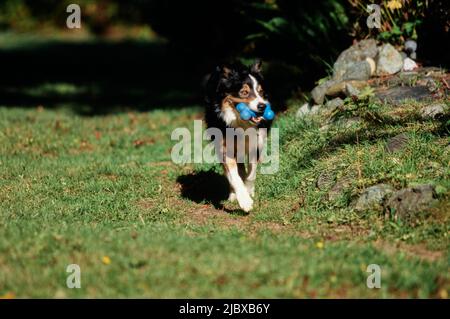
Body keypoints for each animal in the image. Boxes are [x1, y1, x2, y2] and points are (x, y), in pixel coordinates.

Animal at [205, 61, 274, 214]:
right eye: (244, 92)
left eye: (260, 92)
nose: (262, 106)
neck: (241, 123)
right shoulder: (225, 148)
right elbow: (234, 176)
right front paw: (244, 201)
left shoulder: (257, 144)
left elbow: (251, 173)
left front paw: (249, 191)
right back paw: (233, 195)